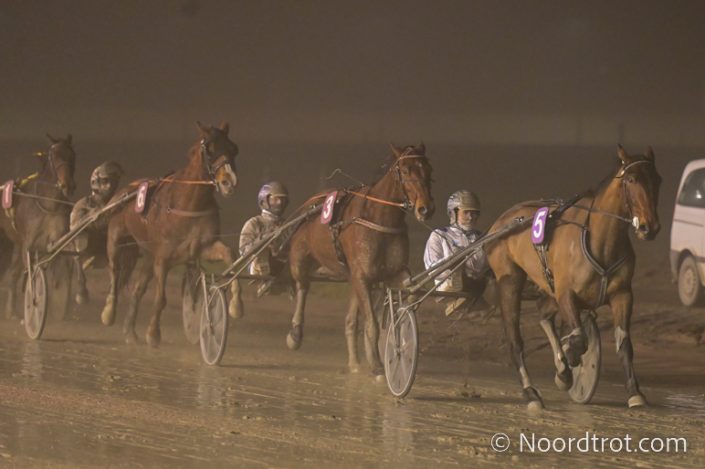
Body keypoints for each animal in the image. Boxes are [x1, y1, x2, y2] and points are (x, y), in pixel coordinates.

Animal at [0, 134, 77, 319]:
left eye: (73, 155)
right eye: (54, 156)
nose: (68, 186)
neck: (48, 204)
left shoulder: (54, 240)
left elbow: (58, 268)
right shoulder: (29, 244)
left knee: (14, 273)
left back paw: (11, 311)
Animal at [100, 121, 240, 346]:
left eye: (233, 149)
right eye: (209, 149)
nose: (229, 182)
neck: (189, 203)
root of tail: (127, 190)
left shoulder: (201, 247)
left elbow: (229, 254)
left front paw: (236, 304)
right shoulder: (163, 257)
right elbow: (161, 298)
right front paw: (153, 333)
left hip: (148, 255)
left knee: (138, 289)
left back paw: (130, 331)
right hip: (116, 238)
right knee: (114, 270)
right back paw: (109, 313)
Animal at [286, 143, 434, 375]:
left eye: (428, 169)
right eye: (405, 170)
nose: (425, 208)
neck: (380, 218)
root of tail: (311, 207)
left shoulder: (392, 273)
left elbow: (409, 294)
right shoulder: (362, 276)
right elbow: (371, 324)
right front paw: (376, 364)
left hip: (351, 278)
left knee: (349, 320)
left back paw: (354, 362)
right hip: (300, 260)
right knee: (303, 286)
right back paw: (295, 334)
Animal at [485, 145, 661, 410]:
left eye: (658, 180)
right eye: (631, 179)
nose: (649, 227)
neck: (601, 240)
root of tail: (502, 221)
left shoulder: (622, 294)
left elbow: (624, 344)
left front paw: (634, 392)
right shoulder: (566, 294)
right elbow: (579, 339)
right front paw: (569, 359)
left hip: (547, 287)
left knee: (544, 313)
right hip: (510, 281)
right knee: (515, 341)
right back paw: (531, 393)